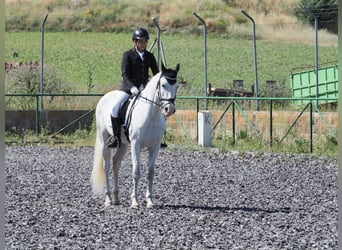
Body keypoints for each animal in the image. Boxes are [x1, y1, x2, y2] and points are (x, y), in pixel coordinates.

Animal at [91, 63, 182, 208]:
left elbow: (150, 173)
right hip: (104, 139)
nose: (169, 109)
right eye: (163, 85)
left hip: (122, 144)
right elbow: (136, 172)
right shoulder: (136, 145)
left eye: (177, 86)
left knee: (115, 164)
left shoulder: (155, 147)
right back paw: (108, 199)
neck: (151, 115)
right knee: (106, 166)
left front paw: (150, 201)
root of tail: (105, 97)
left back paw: (116, 198)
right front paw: (134, 202)